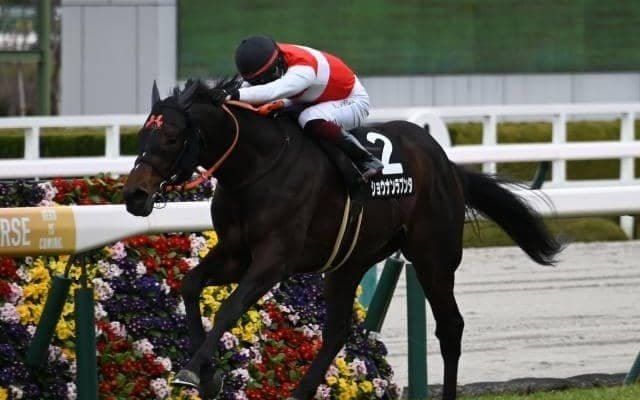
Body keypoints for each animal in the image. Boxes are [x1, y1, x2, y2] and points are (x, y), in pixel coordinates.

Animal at [123, 77, 563, 400]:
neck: (256, 167)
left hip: (433, 255)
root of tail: (446, 164)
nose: (135, 195)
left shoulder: (273, 260)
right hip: (349, 261)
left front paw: (191, 371)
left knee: (450, 326)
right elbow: (190, 285)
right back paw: (299, 392)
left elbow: (229, 308)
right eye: (142, 135)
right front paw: (207, 374)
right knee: (336, 333)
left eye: (171, 137)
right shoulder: (235, 253)